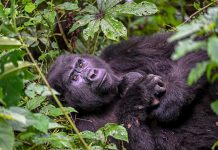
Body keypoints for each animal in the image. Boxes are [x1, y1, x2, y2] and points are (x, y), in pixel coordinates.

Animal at [46, 33, 218, 150]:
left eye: (81, 64)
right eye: (74, 78)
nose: (92, 74)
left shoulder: (117, 52)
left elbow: (187, 42)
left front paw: (172, 98)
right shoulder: (84, 128)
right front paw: (137, 94)